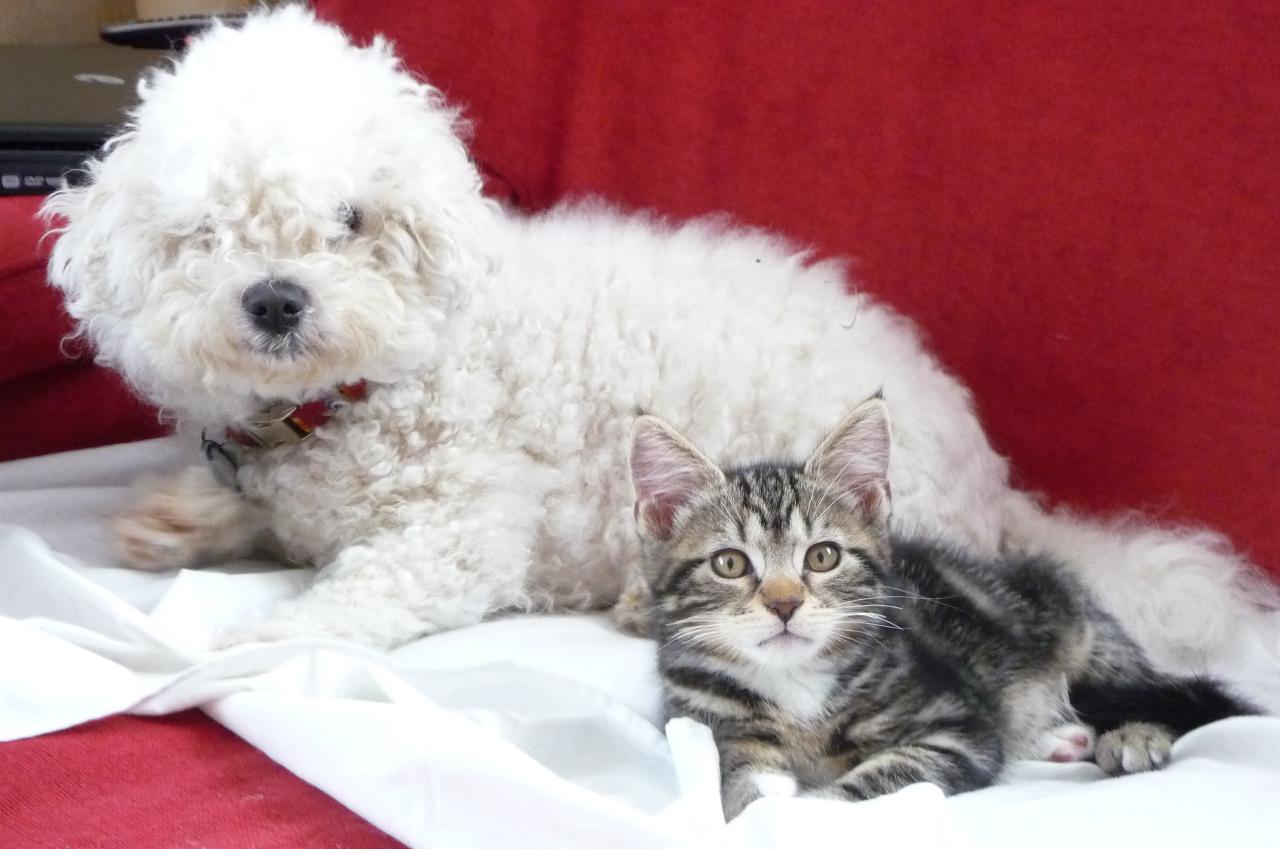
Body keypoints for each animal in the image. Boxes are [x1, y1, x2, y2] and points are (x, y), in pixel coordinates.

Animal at [42, 9, 1269, 665]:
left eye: (352, 221)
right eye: (205, 234)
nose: (276, 299)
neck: (356, 396)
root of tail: (994, 484)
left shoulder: (457, 537)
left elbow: (357, 592)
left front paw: (257, 643)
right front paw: (173, 521)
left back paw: (644, 599)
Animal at [627, 402, 1249, 819]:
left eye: (823, 556)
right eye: (730, 564)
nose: (784, 603)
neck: (796, 690)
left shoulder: (957, 728)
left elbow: (877, 779)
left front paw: (800, 812)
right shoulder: (706, 718)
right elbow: (735, 776)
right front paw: (755, 801)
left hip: (1080, 633)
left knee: (1147, 688)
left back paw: (1131, 735)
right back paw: (1061, 739)